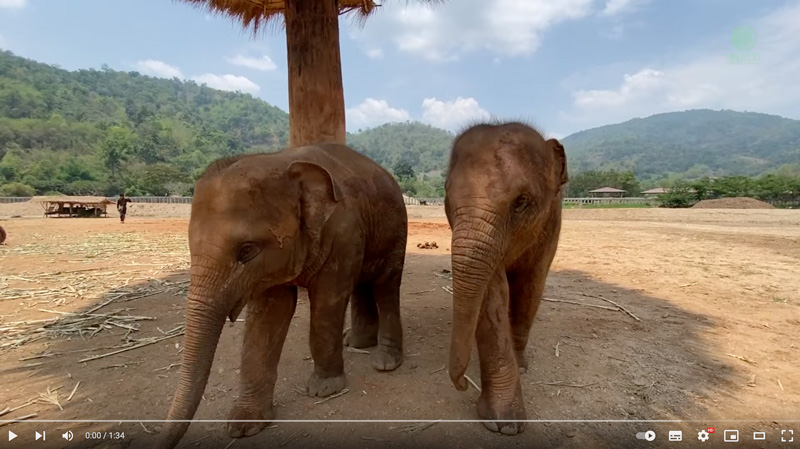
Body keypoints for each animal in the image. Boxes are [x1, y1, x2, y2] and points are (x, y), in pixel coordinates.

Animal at [158, 144, 406, 448]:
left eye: (246, 251)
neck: (279, 161)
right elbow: (270, 311)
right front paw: (244, 425)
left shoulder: (343, 234)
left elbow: (327, 301)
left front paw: (324, 390)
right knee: (363, 283)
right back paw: (357, 342)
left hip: (396, 230)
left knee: (385, 285)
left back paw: (385, 362)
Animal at [444, 120, 568, 434]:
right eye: (446, 198)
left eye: (521, 202)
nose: (462, 384)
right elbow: (492, 292)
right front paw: (504, 423)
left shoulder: (552, 222)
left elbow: (530, 285)